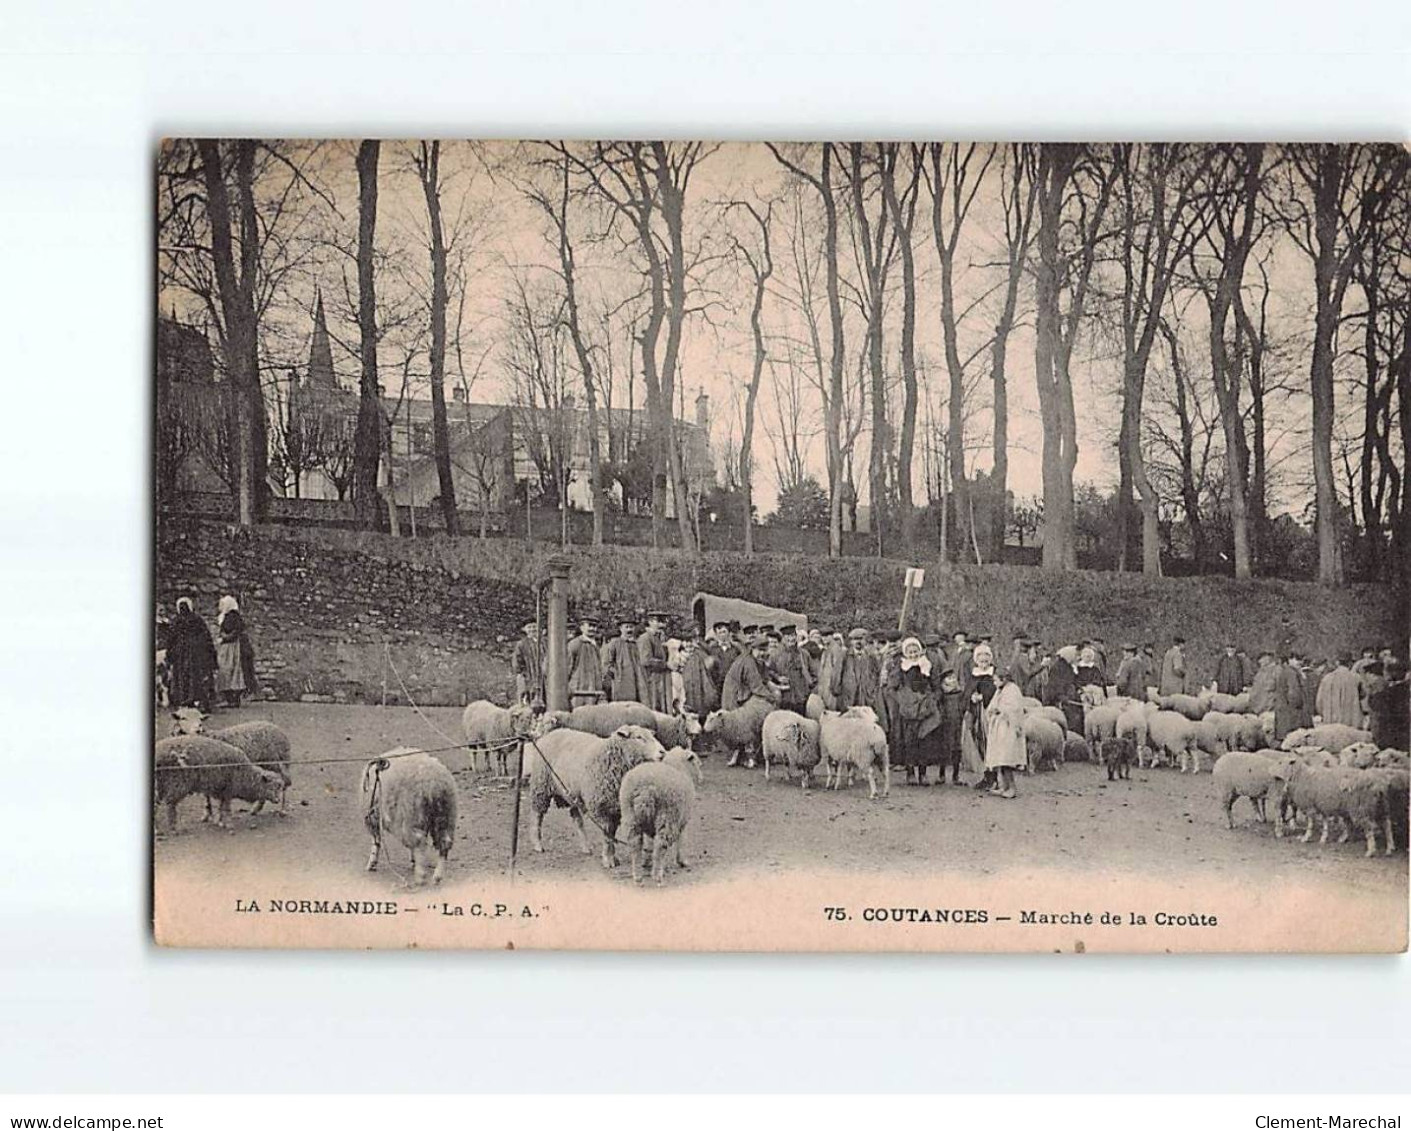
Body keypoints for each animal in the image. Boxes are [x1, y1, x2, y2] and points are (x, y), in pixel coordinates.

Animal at [153, 733, 283, 829]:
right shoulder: (228, 789)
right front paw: (228, 824)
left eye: (279, 788)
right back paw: (173, 827)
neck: (246, 774)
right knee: (170, 803)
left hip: (161, 783)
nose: (277, 800)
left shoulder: (222, 790)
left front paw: (220, 822)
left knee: (158, 803)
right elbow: (226, 807)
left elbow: (221, 807)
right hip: (177, 782)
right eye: (271, 787)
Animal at [358, 750, 457, 879]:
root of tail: (433, 785)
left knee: (419, 842)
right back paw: (437, 876)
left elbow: (376, 842)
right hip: (445, 817)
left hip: (412, 816)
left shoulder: (373, 818)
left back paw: (421, 874)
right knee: (443, 843)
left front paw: (372, 864)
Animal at [527, 719, 663, 868]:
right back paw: (537, 844)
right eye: (639, 737)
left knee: (577, 818)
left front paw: (613, 857)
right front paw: (608, 859)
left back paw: (586, 847)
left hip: (571, 792)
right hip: (541, 785)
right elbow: (607, 833)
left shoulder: (615, 808)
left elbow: (612, 833)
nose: (662, 752)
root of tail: (550, 733)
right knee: (537, 815)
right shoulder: (600, 806)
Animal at [620, 744, 702, 885]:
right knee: (660, 845)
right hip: (667, 815)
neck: (679, 767)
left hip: (631, 816)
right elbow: (682, 840)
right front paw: (682, 861)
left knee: (635, 843)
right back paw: (657, 874)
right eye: (697, 763)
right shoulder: (683, 820)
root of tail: (646, 789)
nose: (702, 778)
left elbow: (648, 843)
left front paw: (646, 861)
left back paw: (637, 875)